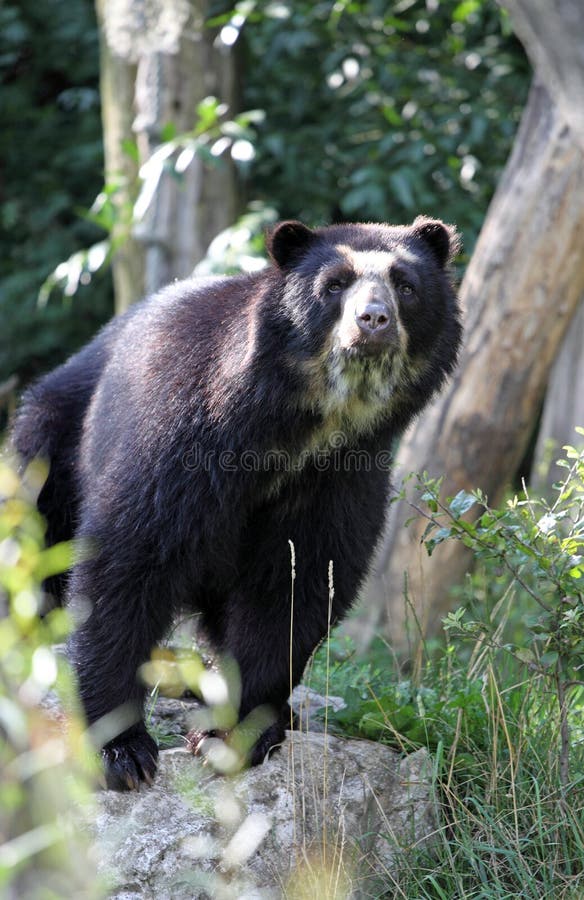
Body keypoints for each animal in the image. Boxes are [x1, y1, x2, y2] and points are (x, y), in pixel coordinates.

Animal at [10, 218, 460, 788]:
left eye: (406, 286)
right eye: (333, 285)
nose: (373, 320)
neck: (304, 423)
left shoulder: (338, 476)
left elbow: (293, 585)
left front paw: (234, 733)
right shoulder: (184, 442)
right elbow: (127, 561)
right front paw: (123, 751)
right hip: (53, 438)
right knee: (35, 538)